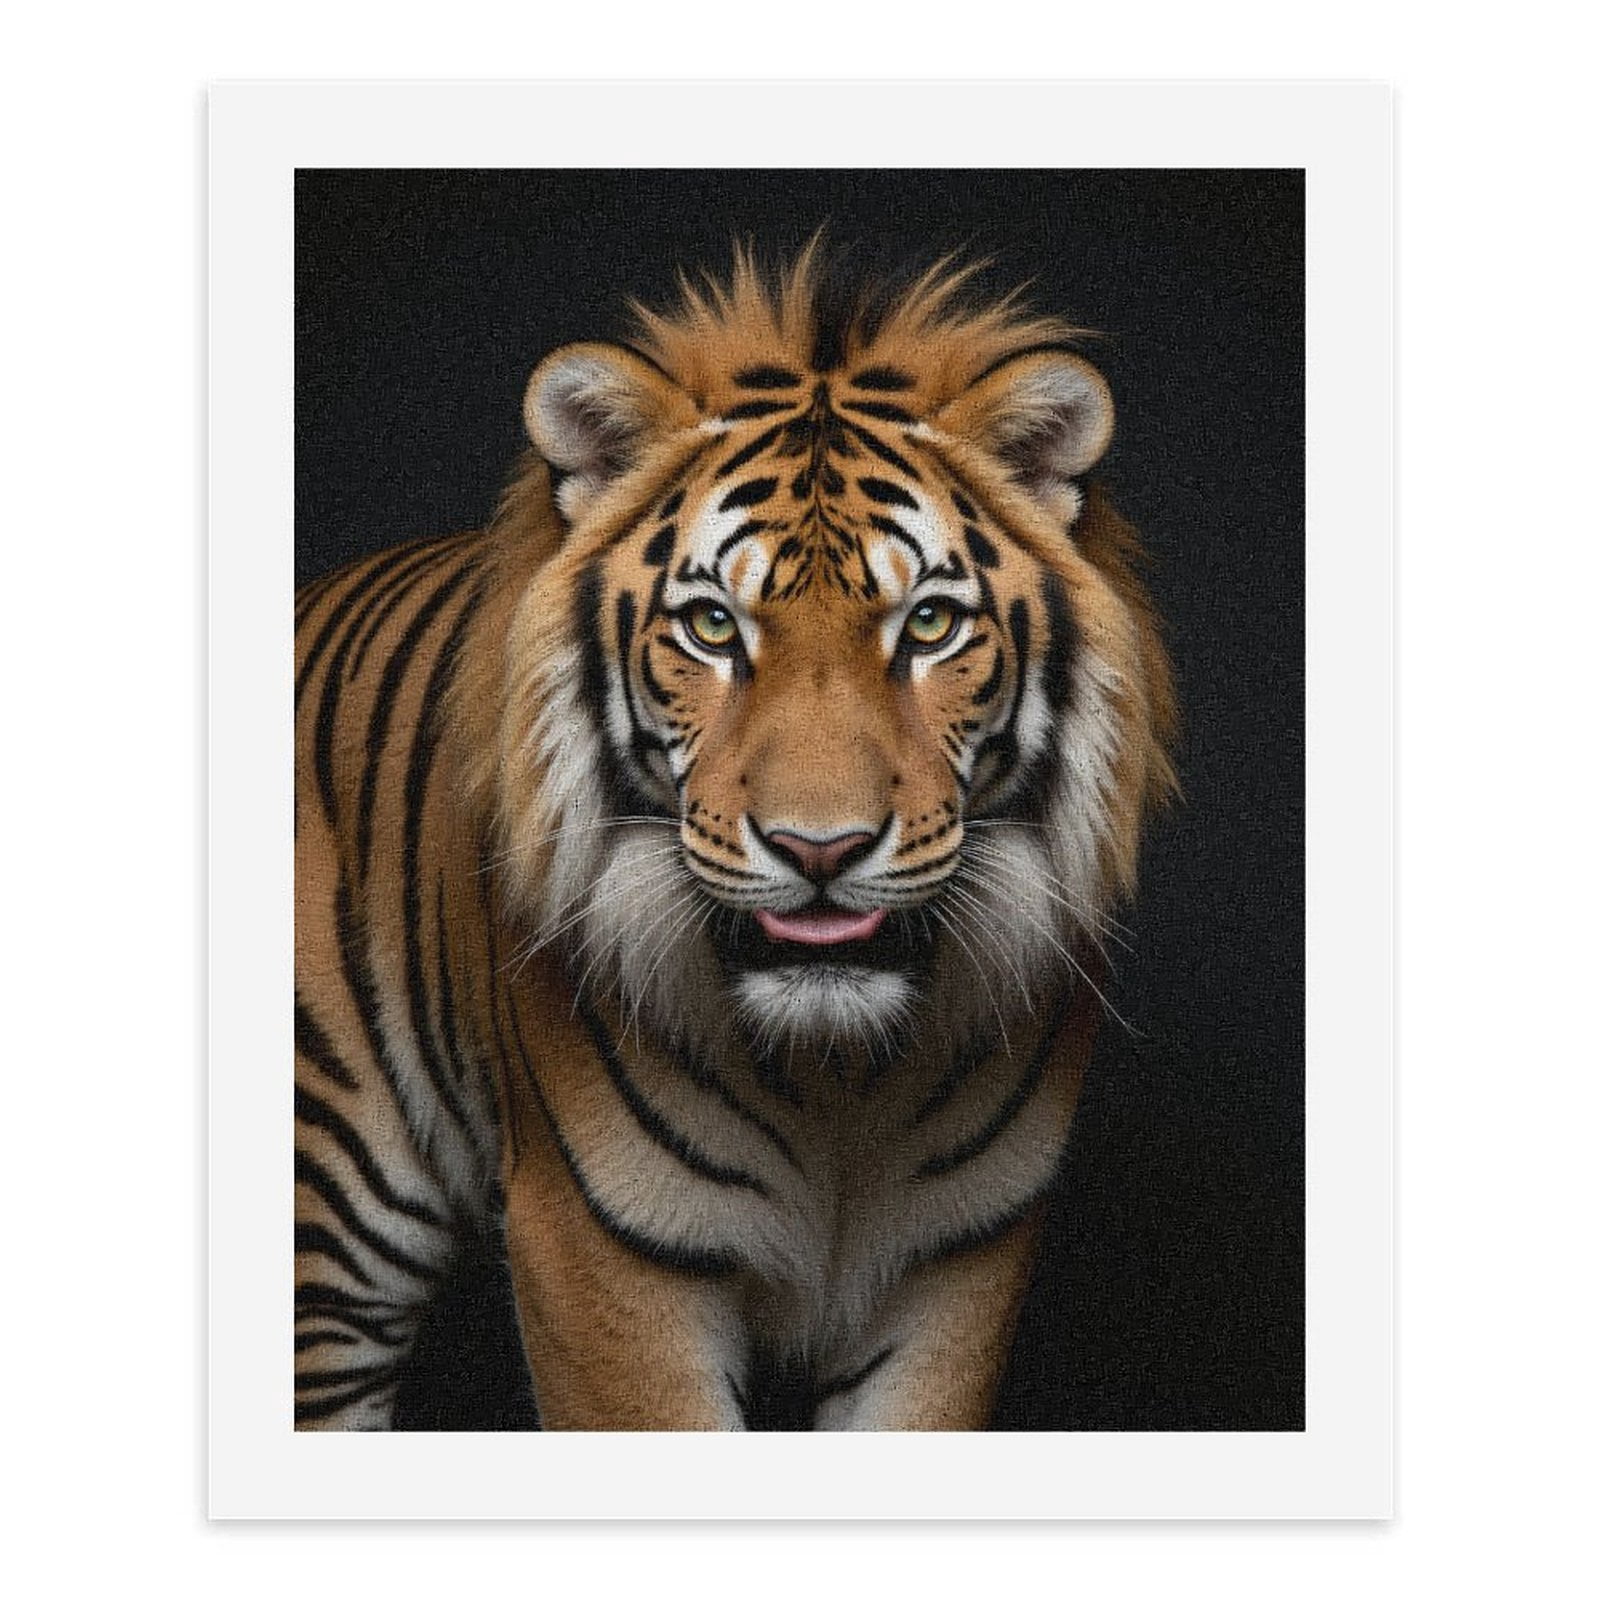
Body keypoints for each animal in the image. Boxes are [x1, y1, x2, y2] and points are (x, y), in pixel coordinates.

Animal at [293, 245, 1176, 1430]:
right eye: (713, 626)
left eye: (929, 624)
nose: (820, 850)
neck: (839, 1075)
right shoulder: (604, 1255)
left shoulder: (960, 1260)